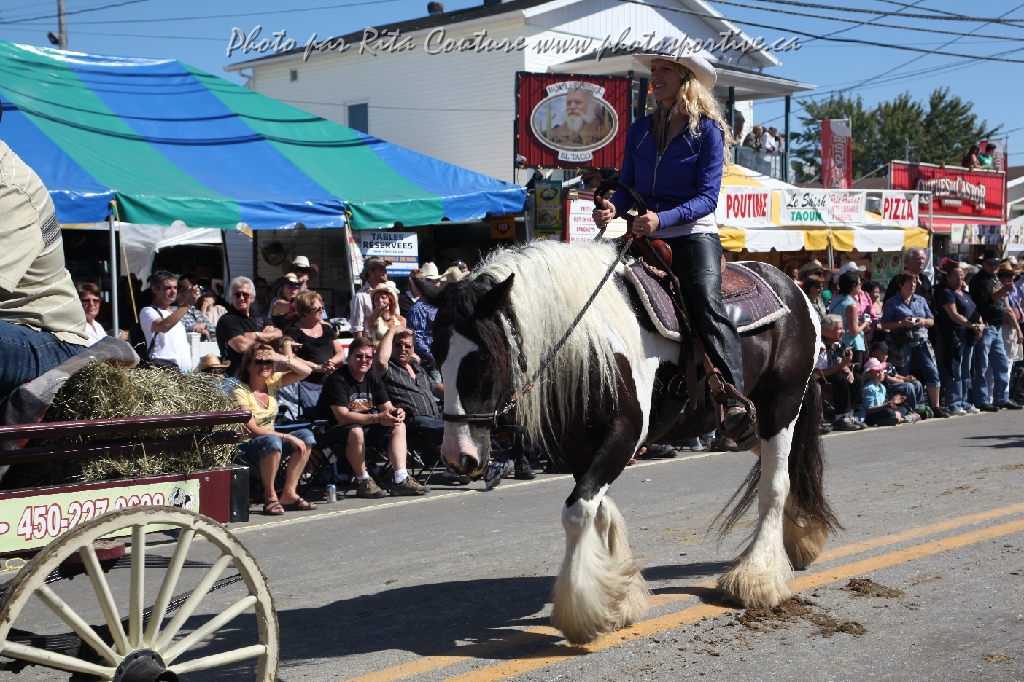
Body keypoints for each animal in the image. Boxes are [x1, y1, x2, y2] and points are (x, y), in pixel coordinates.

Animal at [417, 238, 839, 645]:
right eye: (435, 352)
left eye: (484, 356)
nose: (458, 455)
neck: (589, 339)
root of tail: (791, 287)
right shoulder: (577, 447)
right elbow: (599, 511)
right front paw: (617, 599)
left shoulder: (623, 436)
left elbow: (578, 511)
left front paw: (582, 612)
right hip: (747, 425)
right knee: (784, 467)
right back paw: (802, 538)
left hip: (780, 406)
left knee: (774, 484)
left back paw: (757, 577)